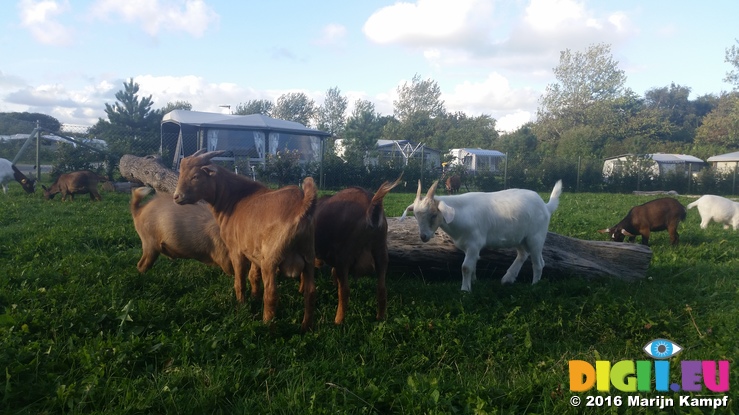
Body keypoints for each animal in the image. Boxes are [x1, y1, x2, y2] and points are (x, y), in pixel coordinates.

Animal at [174, 150, 318, 332]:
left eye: (195, 176)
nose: (176, 197)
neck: (233, 200)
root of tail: (302, 205)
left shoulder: (236, 250)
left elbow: (240, 280)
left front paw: (241, 306)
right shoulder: (253, 251)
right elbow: (253, 276)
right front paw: (254, 297)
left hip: (271, 259)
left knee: (271, 293)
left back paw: (267, 326)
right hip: (308, 256)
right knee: (310, 292)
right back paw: (306, 326)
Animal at [316, 176, 402, 324]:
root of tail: (370, 205)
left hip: (345, 254)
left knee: (345, 291)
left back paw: (338, 321)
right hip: (381, 251)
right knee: (382, 288)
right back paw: (380, 317)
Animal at [402, 180, 564, 292]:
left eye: (434, 215)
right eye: (415, 215)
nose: (423, 236)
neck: (461, 214)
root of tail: (546, 206)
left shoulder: (474, 244)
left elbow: (466, 267)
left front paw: (465, 290)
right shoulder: (468, 247)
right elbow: (473, 265)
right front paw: (473, 282)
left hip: (536, 237)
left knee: (538, 263)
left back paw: (534, 285)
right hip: (519, 237)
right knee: (523, 254)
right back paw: (508, 278)